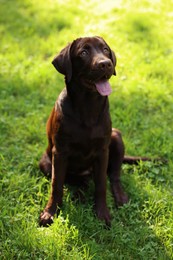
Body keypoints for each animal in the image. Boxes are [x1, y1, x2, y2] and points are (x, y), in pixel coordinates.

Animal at [38, 35, 153, 226]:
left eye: (105, 50)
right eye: (84, 52)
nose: (105, 64)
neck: (88, 105)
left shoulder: (102, 151)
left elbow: (101, 185)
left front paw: (102, 213)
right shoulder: (60, 152)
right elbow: (57, 184)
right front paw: (50, 212)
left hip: (116, 137)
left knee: (114, 175)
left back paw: (120, 197)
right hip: (46, 163)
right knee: (76, 180)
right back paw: (79, 194)